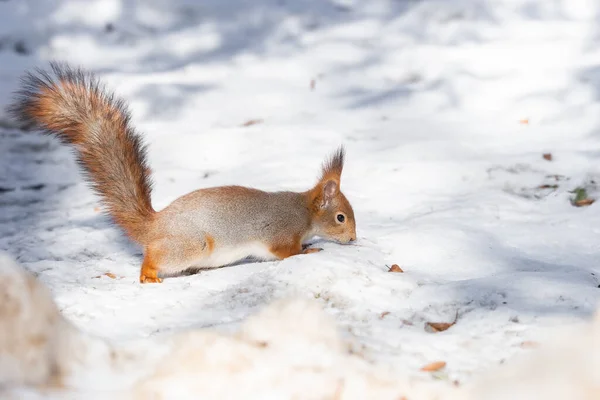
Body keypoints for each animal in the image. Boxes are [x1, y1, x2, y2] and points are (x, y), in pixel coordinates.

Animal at [8, 62, 356, 282]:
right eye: (340, 217)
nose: (353, 239)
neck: (304, 212)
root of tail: (153, 226)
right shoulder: (280, 233)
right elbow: (286, 253)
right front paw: (309, 251)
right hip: (189, 245)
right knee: (152, 257)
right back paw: (149, 274)